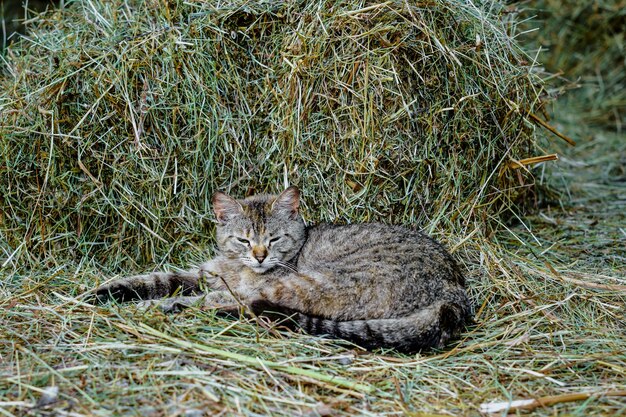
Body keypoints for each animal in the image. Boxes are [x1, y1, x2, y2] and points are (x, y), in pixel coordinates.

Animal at [95, 186, 470, 352]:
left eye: (274, 239)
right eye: (243, 240)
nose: (260, 256)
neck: (237, 267)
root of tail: (455, 295)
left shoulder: (247, 283)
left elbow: (208, 295)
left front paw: (153, 302)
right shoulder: (205, 274)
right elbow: (159, 277)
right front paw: (108, 290)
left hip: (314, 282)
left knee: (246, 306)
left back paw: (170, 307)